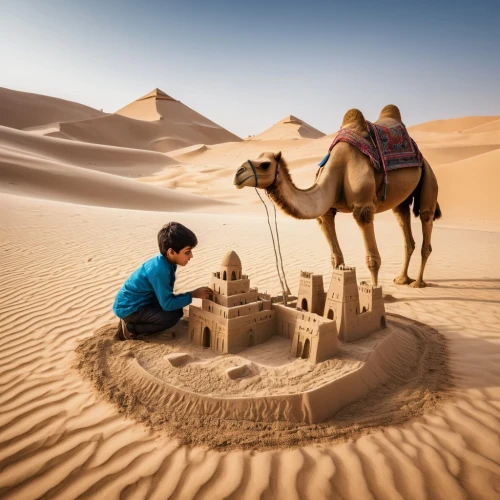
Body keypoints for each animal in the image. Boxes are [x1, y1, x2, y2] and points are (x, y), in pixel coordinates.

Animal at [232, 105, 440, 290]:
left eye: (265, 164)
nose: (238, 173)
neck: (338, 168)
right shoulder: (327, 211)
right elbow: (336, 258)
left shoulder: (363, 208)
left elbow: (372, 259)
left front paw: (375, 294)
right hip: (402, 200)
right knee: (405, 231)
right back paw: (402, 279)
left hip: (428, 176)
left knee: (426, 224)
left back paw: (418, 283)